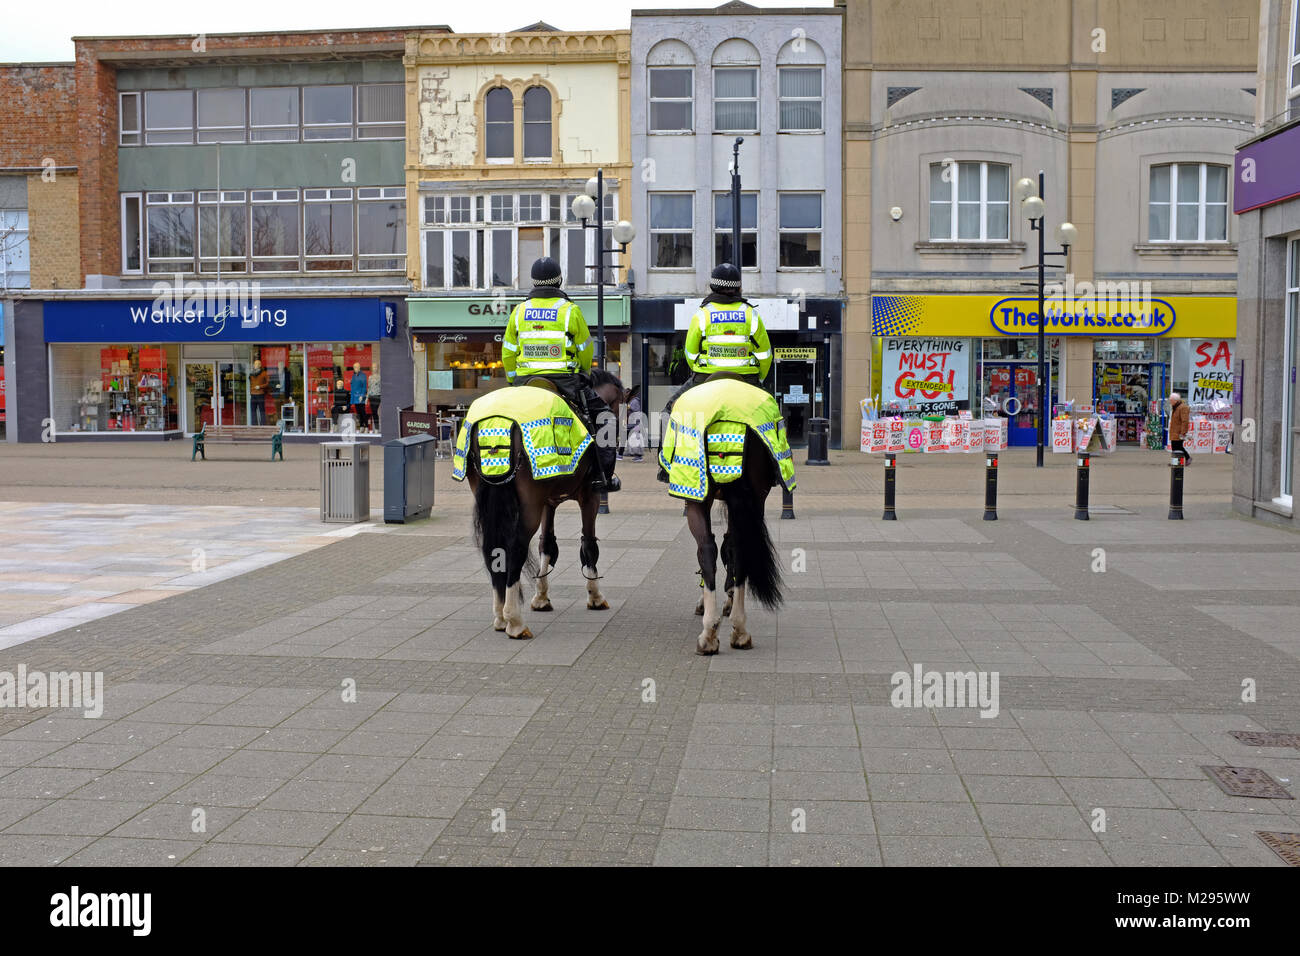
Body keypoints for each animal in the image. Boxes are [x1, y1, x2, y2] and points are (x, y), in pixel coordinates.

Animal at [467, 369, 624, 639]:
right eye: (620, 404)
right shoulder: (589, 498)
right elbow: (589, 545)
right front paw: (595, 596)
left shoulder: (548, 503)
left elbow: (547, 545)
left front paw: (541, 597)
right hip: (529, 508)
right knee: (516, 549)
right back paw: (515, 622)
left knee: (495, 550)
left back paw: (500, 617)